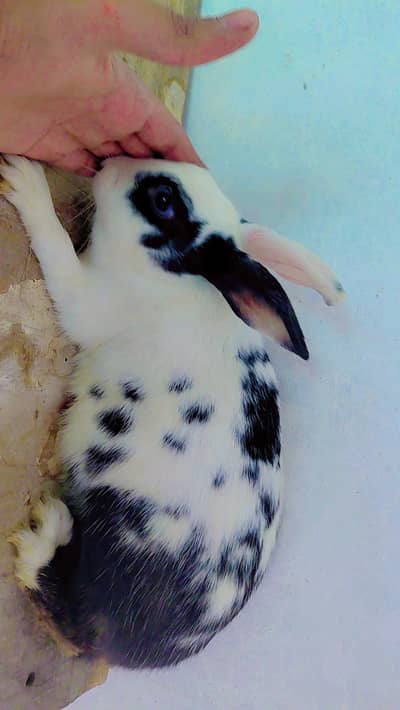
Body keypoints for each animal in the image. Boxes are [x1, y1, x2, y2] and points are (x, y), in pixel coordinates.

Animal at [1, 154, 343, 669]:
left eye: (163, 201)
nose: (107, 162)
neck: (173, 280)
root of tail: (142, 651)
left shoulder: (87, 300)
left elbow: (56, 248)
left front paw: (25, 181)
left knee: (69, 613)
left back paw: (44, 532)